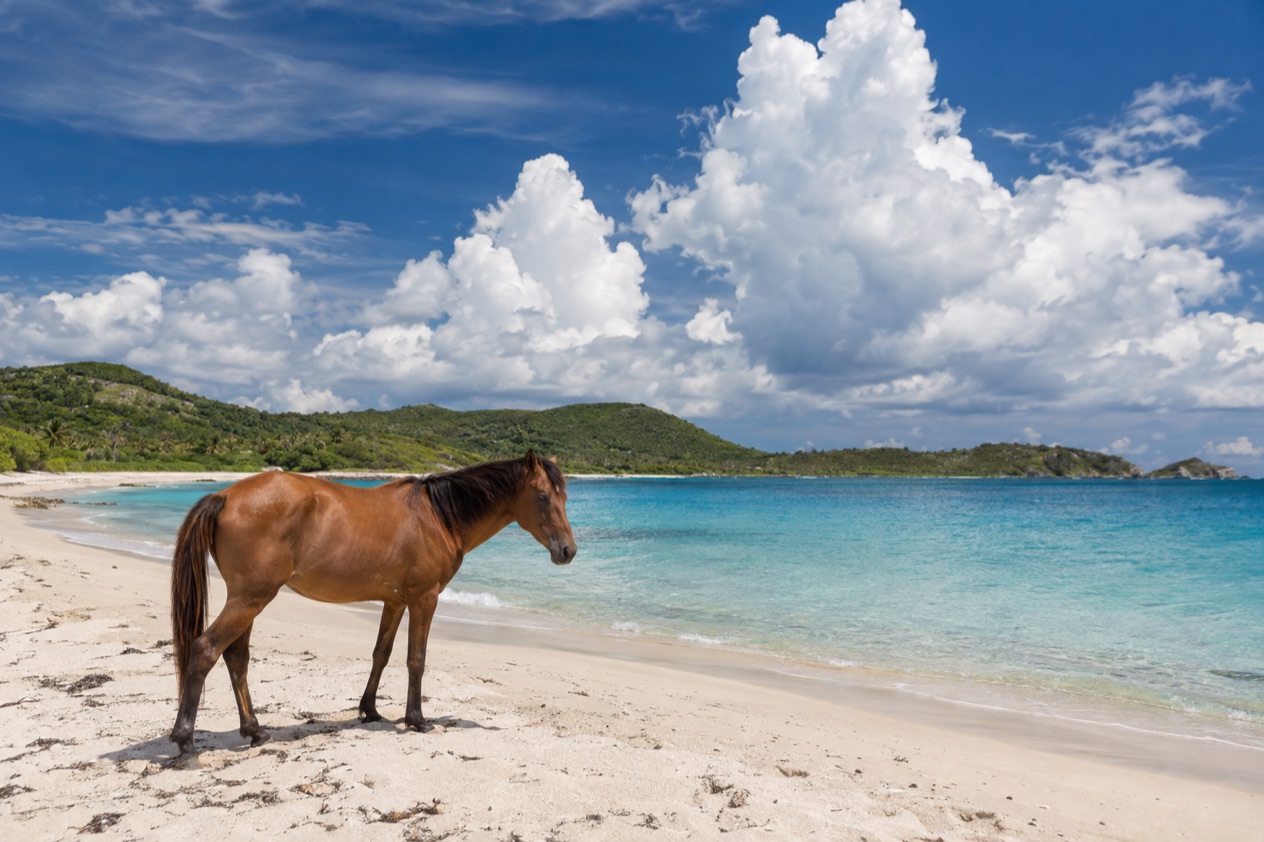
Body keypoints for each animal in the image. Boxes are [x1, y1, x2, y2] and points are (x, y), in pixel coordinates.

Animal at [169, 451, 576, 756]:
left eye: (565, 496)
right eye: (543, 496)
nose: (568, 551)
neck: (439, 516)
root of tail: (225, 496)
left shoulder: (394, 602)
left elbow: (381, 653)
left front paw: (370, 710)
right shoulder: (425, 598)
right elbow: (416, 658)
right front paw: (417, 719)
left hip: (248, 599)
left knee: (236, 658)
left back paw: (254, 730)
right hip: (250, 598)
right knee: (205, 650)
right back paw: (185, 740)